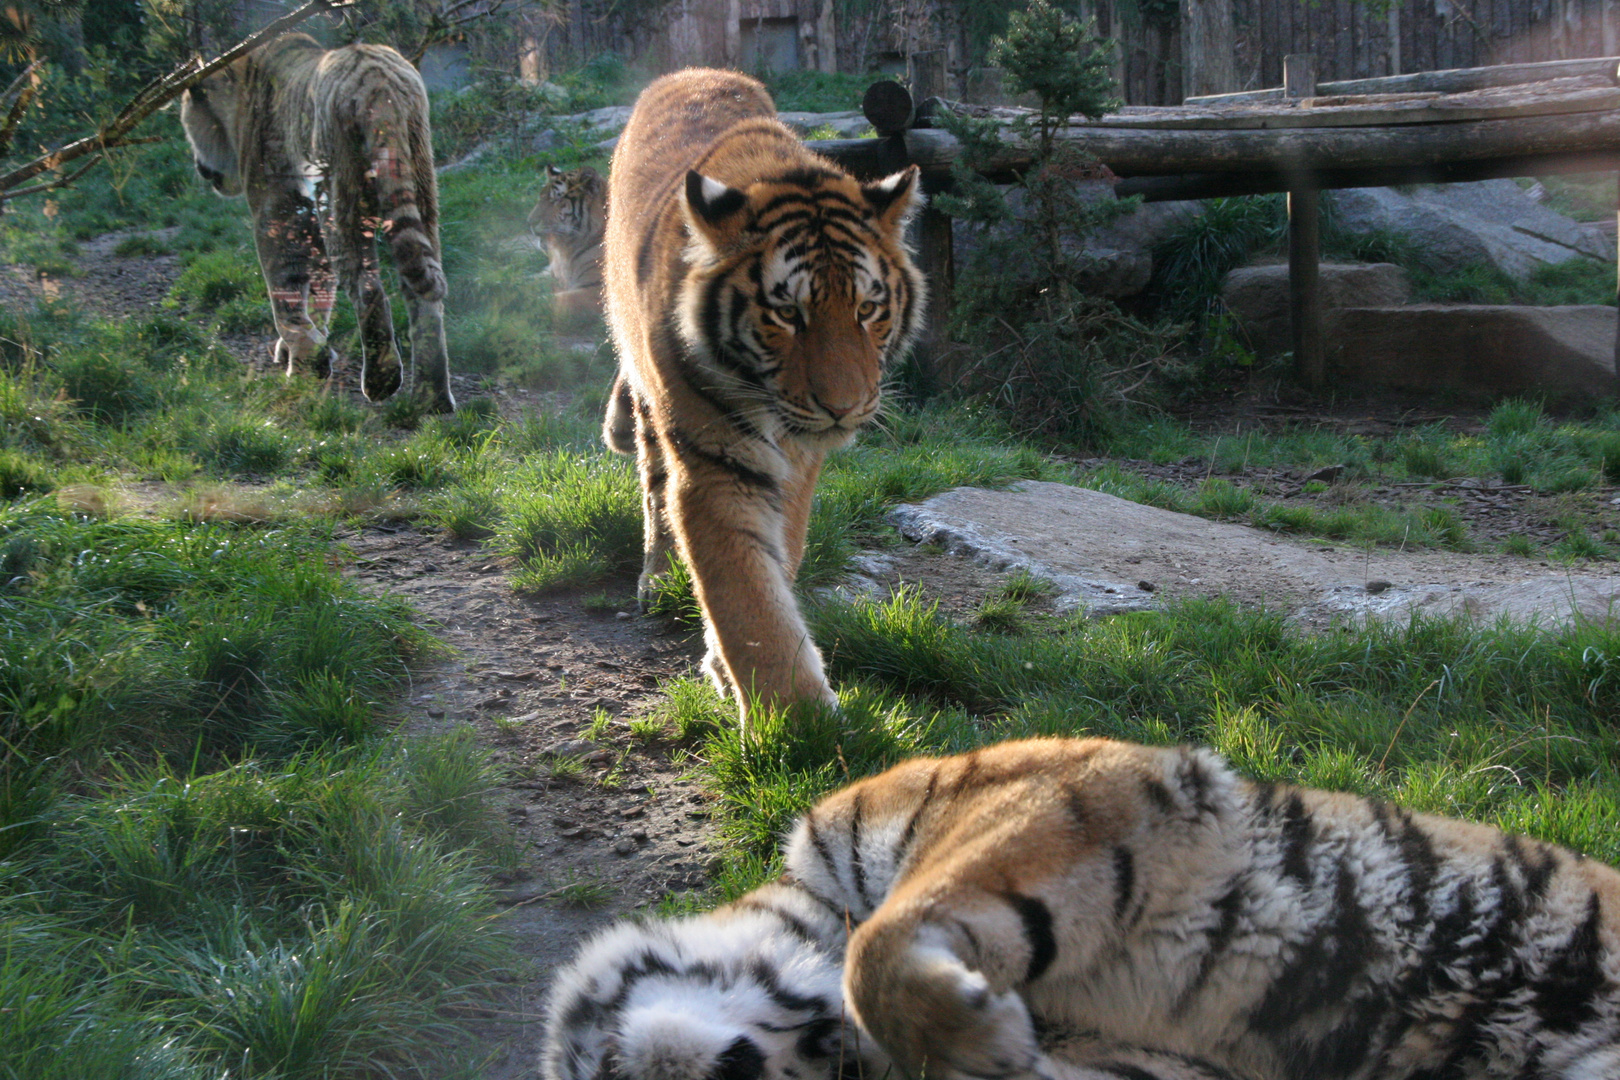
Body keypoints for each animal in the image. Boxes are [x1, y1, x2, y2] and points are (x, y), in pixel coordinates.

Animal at [179, 33, 456, 414]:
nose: (197, 165)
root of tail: (377, 77)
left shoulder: (275, 208)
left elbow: (284, 288)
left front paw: (306, 359)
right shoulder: (307, 217)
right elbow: (319, 290)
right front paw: (313, 350)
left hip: (342, 198)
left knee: (368, 288)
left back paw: (381, 381)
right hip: (422, 186)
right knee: (424, 299)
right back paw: (432, 398)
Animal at [599, 67, 933, 725]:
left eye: (867, 308)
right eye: (787, 314)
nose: (843, 407)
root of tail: (690, 70)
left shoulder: (799, 463)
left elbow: (780, 557)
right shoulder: (716, 465)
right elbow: (747, 596)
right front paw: (801, 722)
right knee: (653, 487)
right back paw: (657, 575)